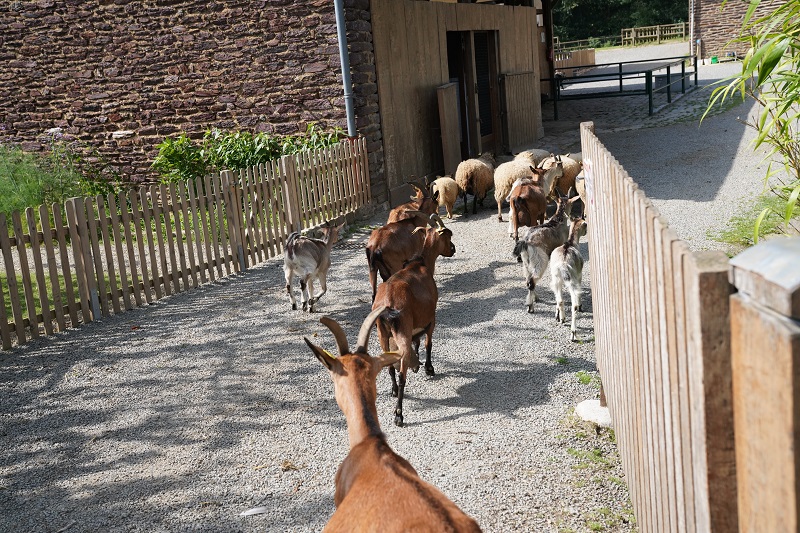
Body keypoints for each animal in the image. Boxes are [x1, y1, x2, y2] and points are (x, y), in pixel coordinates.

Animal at [372, 214, 454, 426]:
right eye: (448, 235)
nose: (453, 249)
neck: (420, 264)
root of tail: (388, 304)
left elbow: (417, 341)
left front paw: (418, 364)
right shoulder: (431, 317)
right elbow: (427, 343)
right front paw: (428, 368)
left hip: (382, 333)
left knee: (389, 366)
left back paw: (393, 391)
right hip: (401, 330)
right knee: (401, 372)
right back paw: (399, 414)